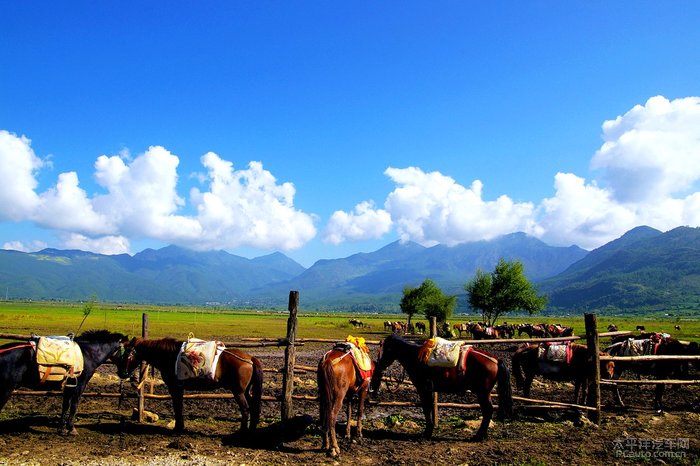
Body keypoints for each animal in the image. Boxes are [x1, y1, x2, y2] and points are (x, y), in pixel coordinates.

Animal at [0, 330, 130, 436]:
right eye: (129, 352)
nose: (125, 374)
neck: (88, 353)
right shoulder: (80, 385)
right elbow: (74, 405)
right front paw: (71, 429)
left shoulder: (69, 386)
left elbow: (66, 405)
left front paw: (62, 428)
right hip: (6, 390)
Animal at [120, 338, 262, 434]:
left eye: (127, 354)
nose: (122, 373)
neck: (170, 356)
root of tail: (250, 359)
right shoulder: (179, 388)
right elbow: (179, 406)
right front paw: (180, 427)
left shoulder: (175, 387)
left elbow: (177, 407)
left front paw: (178, 428)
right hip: (246, 391)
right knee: (253, 406)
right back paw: (251, 429)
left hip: (238, 392)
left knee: (245, 409)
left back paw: (242, 431)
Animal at [370, 334, 512, 440]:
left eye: (385, 350)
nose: (379, 364)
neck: (415, 357)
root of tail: (496, 360)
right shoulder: (429, 389)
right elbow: (429, 408)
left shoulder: (423, 389)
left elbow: (426, 408)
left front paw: (427, 432)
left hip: (483, 392)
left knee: (488, 410)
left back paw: (479, 436)